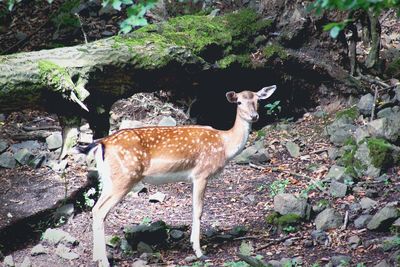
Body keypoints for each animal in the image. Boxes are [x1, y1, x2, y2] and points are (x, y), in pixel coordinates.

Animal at [79, 85, 276, 266]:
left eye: (258, 101)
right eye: (239, 102)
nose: (254, 116)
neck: (225, 145)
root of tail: (101, 143)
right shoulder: (201, 173)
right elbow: (198, 210)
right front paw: (199, 252)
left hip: (109, 180)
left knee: (95, 208)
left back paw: (97, 257)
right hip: (125, 178)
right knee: (101, 211)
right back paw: (104, 261)